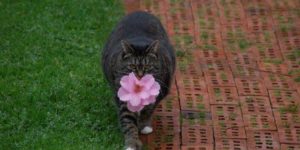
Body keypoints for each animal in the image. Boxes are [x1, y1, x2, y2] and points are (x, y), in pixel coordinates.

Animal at [101, 11, 176, 149]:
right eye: (132, 67)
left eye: (147, 67)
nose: (140, 76)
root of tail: (140, 12)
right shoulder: (122, 96)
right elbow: (128, 121)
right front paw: (132, 143)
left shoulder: (160, 90)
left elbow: (148, 109)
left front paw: (143, 125)